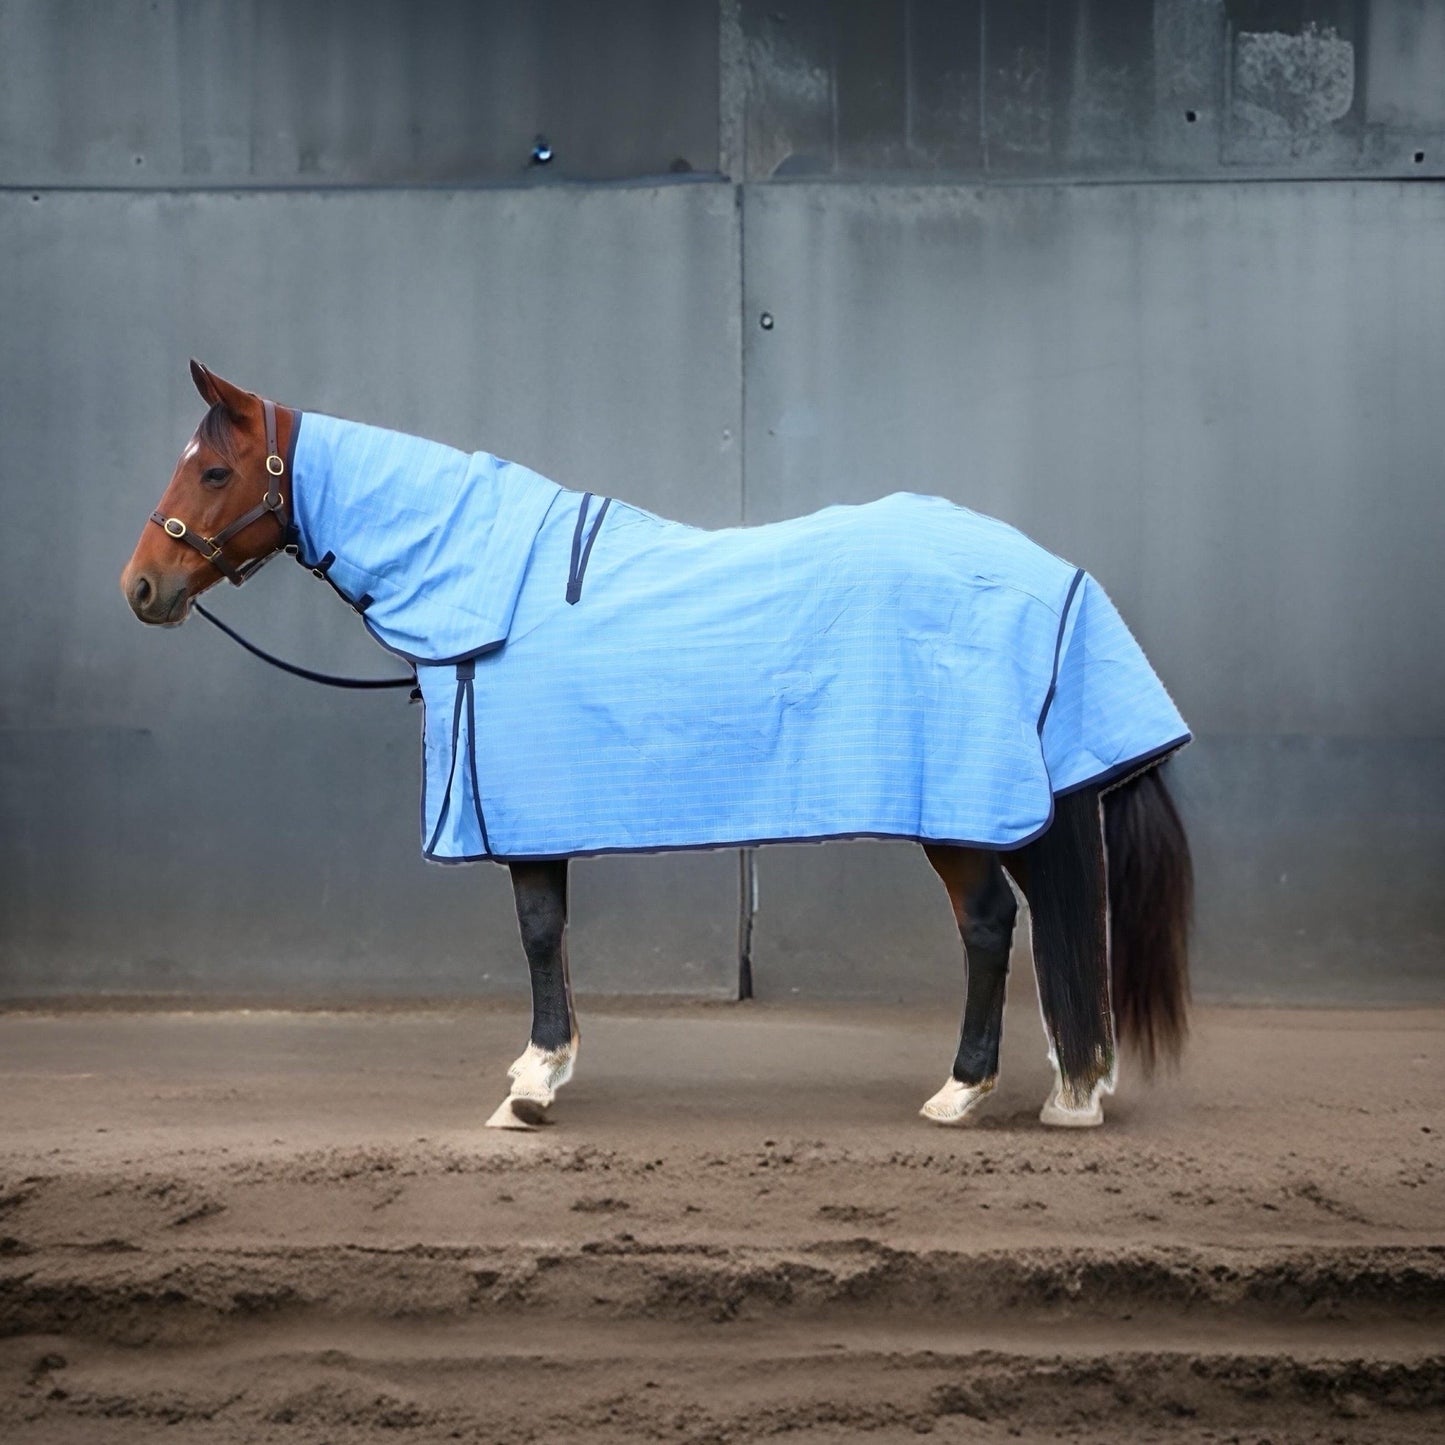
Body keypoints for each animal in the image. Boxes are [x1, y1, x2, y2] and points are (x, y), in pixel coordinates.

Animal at [121, 361, 1184, 1127]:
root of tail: (1053, 573)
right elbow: (548, 933)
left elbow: (537, 930)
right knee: (1053, 923)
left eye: (214, 470)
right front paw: (545, 1065)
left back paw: (966, 1091)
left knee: (991, 926)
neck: (486, 583)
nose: (141, 586)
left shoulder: (526, 809)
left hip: (961, 809)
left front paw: (533, 1086)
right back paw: (1074, 1083)